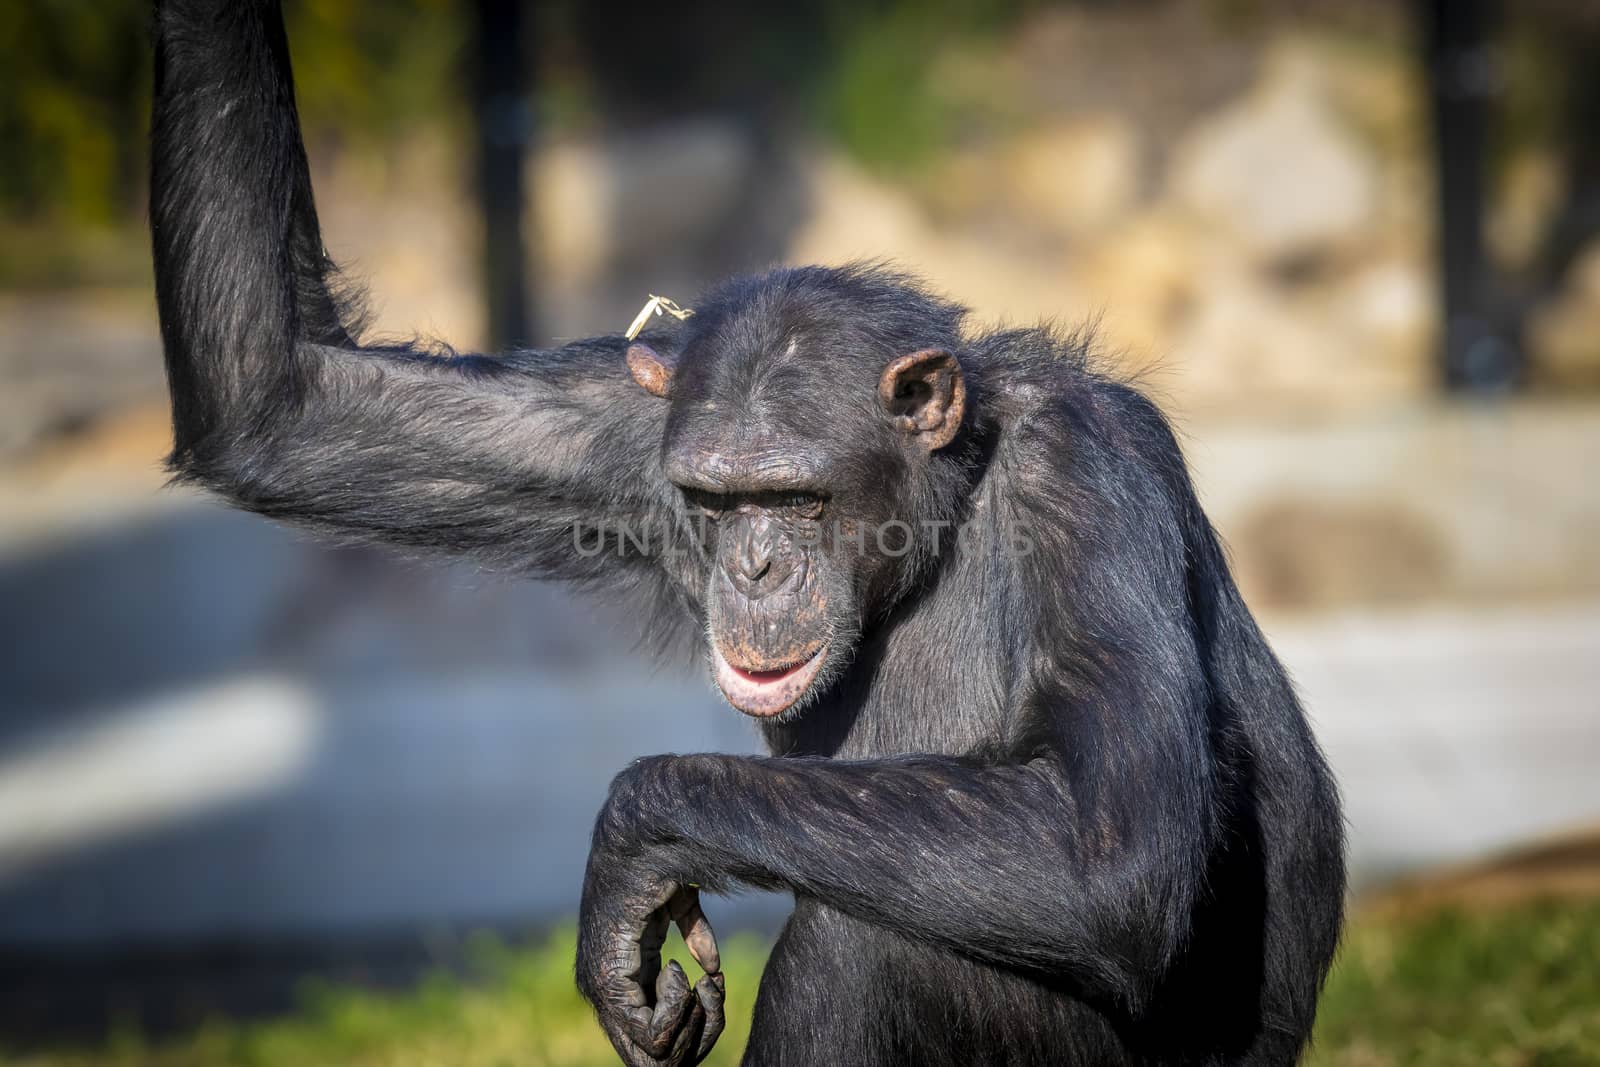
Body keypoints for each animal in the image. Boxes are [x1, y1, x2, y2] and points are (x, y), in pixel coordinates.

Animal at [152, 2, 1350, 1067]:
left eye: (799, 496)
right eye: (720, 501)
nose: (757, 562)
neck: (947, 509)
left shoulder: (1087, 474)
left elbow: (1112, 847)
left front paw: (632, 840)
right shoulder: (632, 423)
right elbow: (288, 403)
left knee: (868, 946)